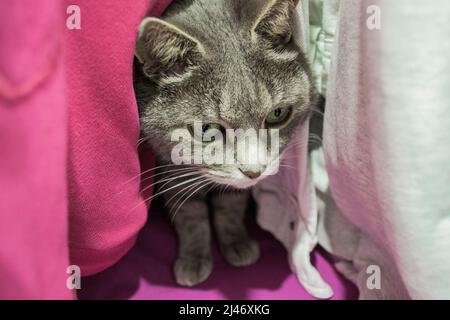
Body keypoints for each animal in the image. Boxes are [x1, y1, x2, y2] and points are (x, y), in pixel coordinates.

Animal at [134, 0, 316, 286]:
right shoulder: (169, 166)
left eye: (277, 114)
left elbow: (231, 203)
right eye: (207, 130)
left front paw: (237, 242)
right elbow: (189, 213)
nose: (255, 171)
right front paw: (194, 258)